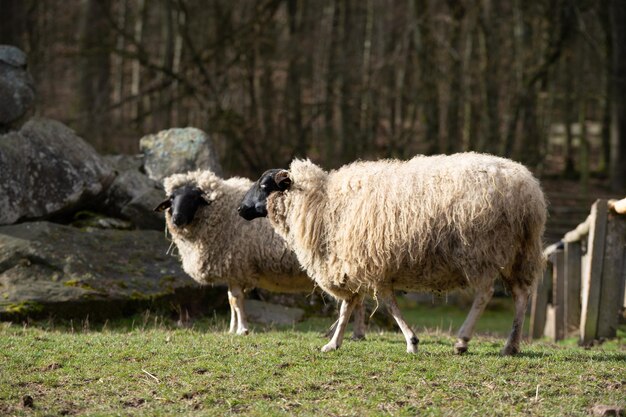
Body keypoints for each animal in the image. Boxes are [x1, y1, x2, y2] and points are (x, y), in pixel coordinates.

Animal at [154, 171, 366, 336]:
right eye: (171, 199)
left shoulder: (236, 264)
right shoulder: (233, 271)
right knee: (358, 299)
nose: (177, 219)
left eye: (193, 198)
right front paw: (232, 329)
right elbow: (231, 300)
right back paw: (356, 333)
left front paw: (242, 329)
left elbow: (236, 300)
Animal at [236, 153, 544, 354]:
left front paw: (411, 341)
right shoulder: (353, 262)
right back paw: (511, 345)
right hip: (519, 253)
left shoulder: (371, 263)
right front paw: (334, 343)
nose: (240, 209)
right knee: (521, 295)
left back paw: (462, 340)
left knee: (484, 294)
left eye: (264, 185)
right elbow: (349, 305)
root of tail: (526, 192)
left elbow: (386, 303)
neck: (321, 204)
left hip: (481, 251)